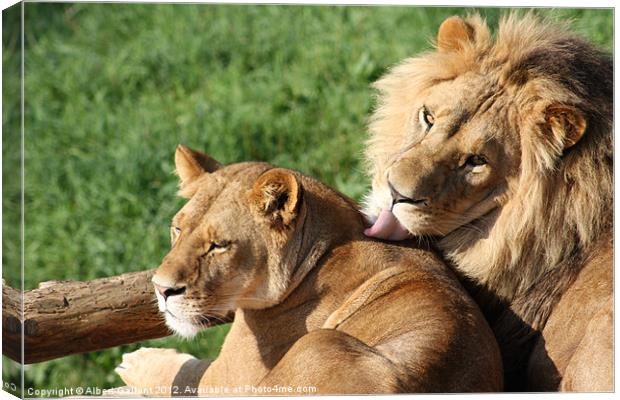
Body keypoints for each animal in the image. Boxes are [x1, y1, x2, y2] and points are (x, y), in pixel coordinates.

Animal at [114, 145, 502, 396]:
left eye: (218, 245)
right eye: (177, 229)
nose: (161, 289)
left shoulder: (227, 379)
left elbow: (186, 375)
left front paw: (137, 362)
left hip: (318, 344)